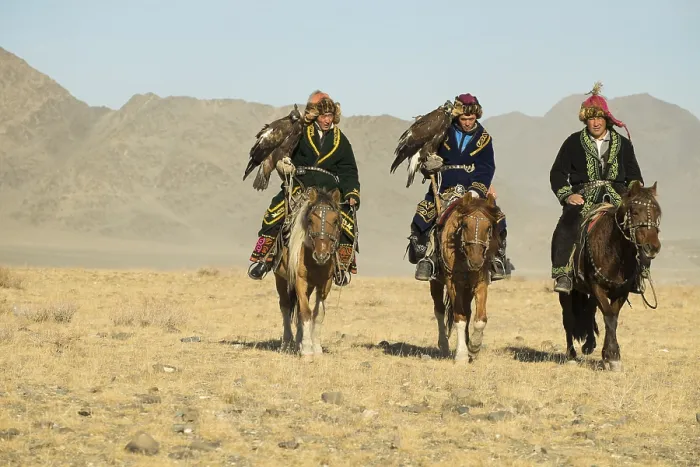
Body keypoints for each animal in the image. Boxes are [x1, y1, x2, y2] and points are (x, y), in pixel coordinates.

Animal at [274, 186, 343, 361]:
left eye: (335, 221)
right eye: (311, 220)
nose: (322, 255)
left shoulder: (325, 283)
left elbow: (318, 314)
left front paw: (316, 347)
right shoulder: (299, 280)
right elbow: (305, 312)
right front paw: (306, 350)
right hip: (281, 279)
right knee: (285, 306)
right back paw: (287, 343)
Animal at [429, 192, 502, 362]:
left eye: (489, 227)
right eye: (465, 225)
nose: (476, 261)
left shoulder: (481, 281)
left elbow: (480, 318)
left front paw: (474, 347)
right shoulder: (453, 282)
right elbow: (459, 317)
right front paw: (461, 355)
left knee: (468, 312)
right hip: (437, 282)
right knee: (439, 310)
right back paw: (444, 345)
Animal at [559, 181, 661, 371]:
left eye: (657, 212)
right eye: (635, 212)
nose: (653, 247)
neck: (614, 251)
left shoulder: (621, 290)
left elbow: (613, 316)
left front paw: (610, 356)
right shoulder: (597, 286)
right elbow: (609, 316)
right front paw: (612, 356)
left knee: (589, 311)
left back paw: (589, 344)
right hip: (568, 291)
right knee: (568, 317)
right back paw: (571, 354)